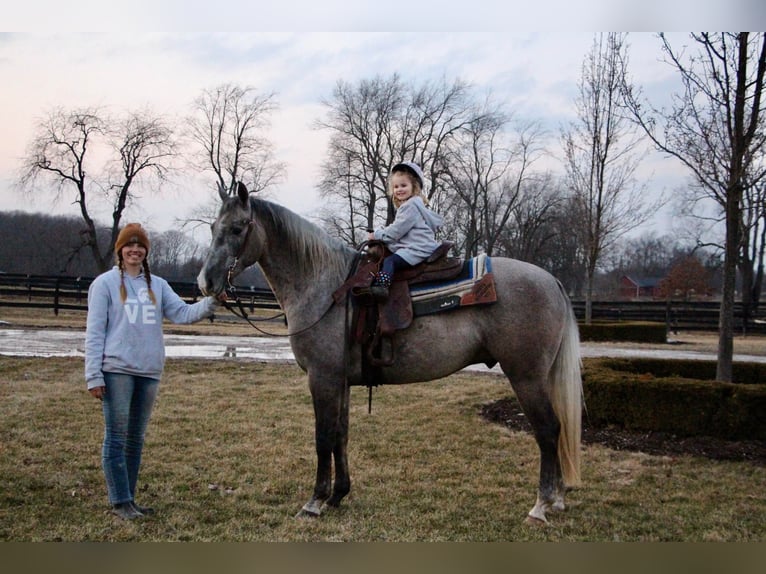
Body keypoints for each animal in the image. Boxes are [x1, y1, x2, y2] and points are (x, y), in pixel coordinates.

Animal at [196, 184, 584, 528]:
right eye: (213, 227)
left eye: (237, 228)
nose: (205, 283)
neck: (324, 287)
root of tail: (552, 281)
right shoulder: (341, 382)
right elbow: (340, 435)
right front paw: (338, 495)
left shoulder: (322, 378)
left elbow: (323, 438)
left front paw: (315, 502)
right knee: (557, 429)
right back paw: (557, 499)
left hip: (526, 376)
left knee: (548, 430)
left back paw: (540, 506)